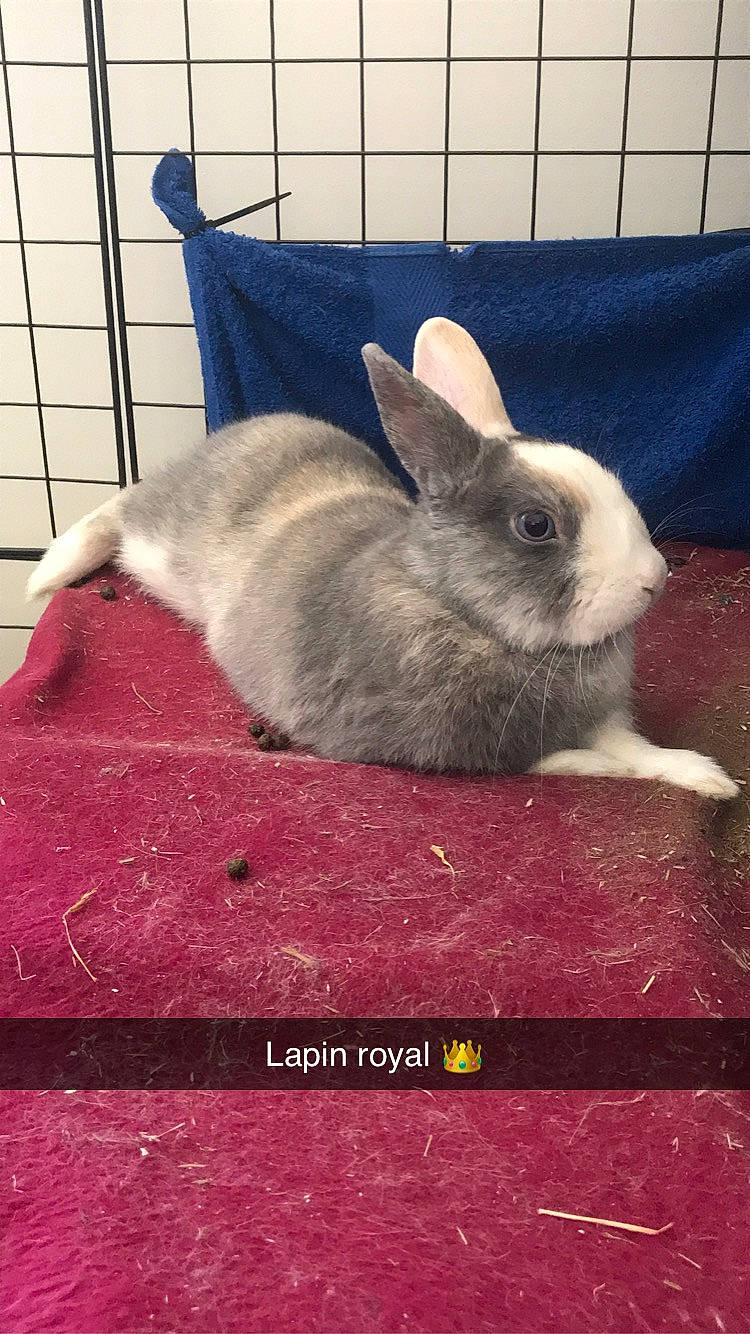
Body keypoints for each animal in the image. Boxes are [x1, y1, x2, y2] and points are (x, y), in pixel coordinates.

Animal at [27, 316, 738, 800]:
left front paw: (705, 776)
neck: (462, 612)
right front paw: (661, 773)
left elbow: (634, 746)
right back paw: (49, 573)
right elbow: (577, 760)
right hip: (160, 535)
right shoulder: (446, 745)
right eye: (536, 526)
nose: (654, 580)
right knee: (118, 509)